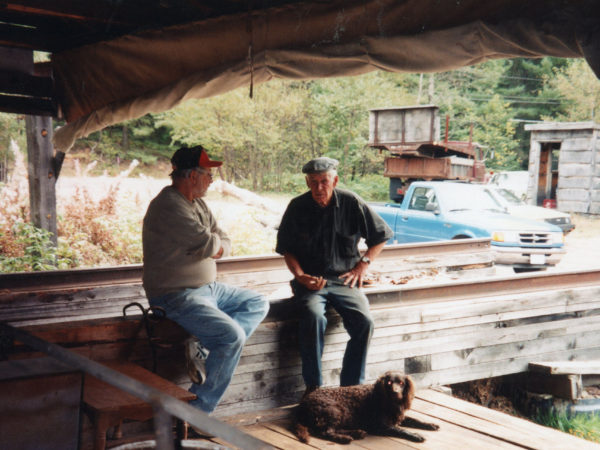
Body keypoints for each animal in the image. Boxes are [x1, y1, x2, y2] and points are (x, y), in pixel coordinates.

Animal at [296, 372, 440, 442]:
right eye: (389, 382)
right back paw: (345, 438)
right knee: (326, 431)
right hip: (335, 410)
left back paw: (357, 433)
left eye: (401, 383)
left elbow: (416, 420)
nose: (395, 392)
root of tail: (303, 403)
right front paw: (415, 435)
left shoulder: (399, 416)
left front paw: (430, 425)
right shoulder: (381, 425)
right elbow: (401, 430)